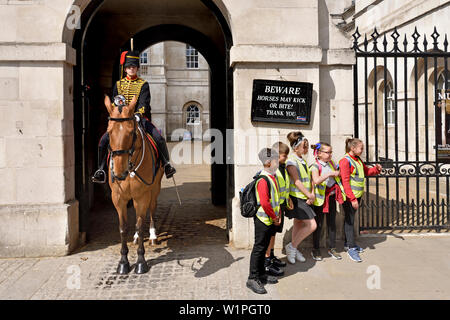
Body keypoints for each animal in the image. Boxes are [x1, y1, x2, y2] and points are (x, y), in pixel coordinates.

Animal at [103, 95, 163, 276]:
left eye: (131, 132)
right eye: (109, 131)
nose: (119, 173)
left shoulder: (142, 196)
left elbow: (141, 224)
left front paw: (141, 262)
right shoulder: (118, 198)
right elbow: (123, 228)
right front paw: (123, 262)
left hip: (154, 190)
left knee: (151, 210)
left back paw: (152, 236)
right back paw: (136, 237)